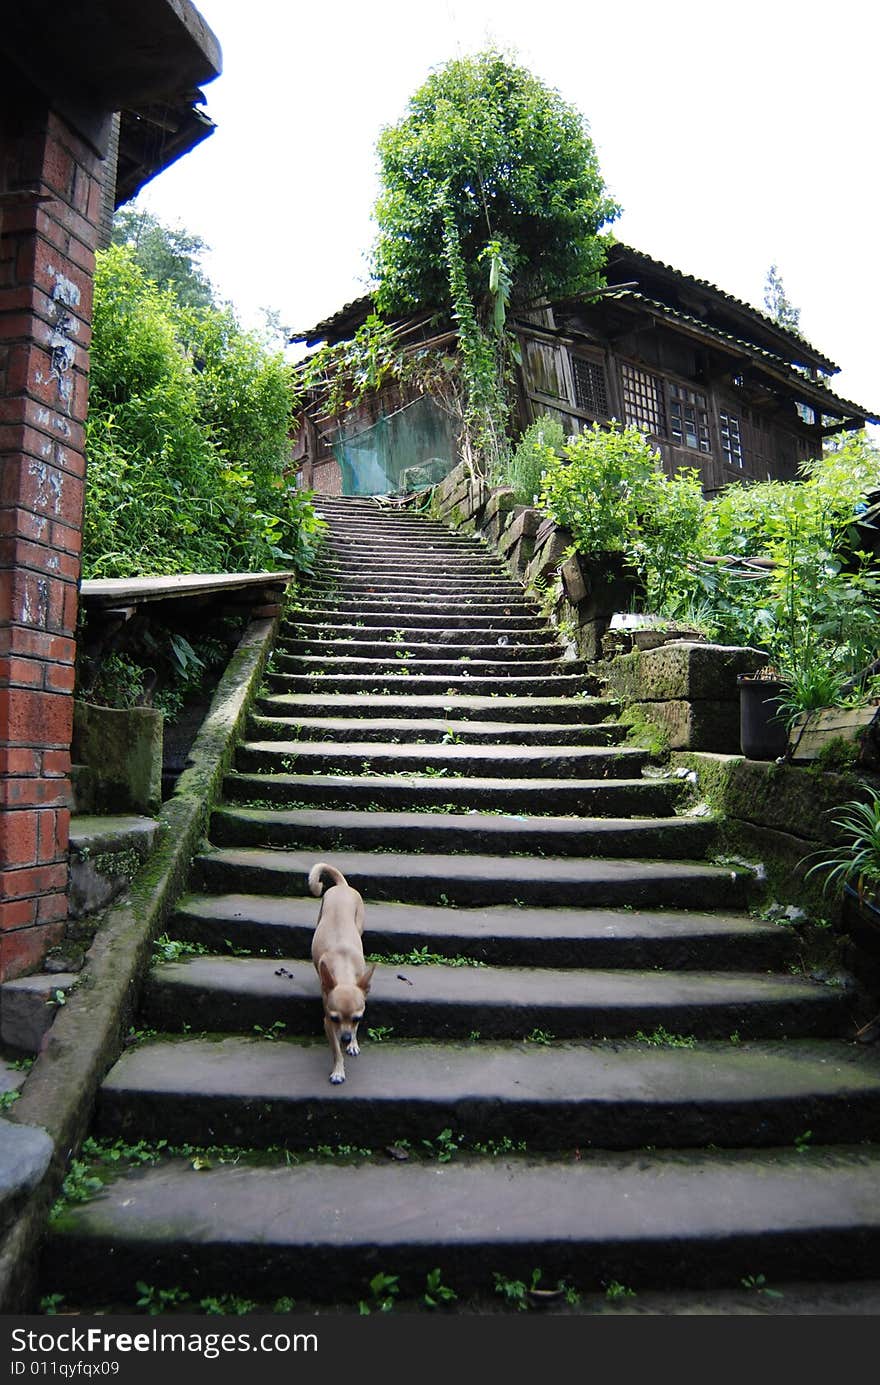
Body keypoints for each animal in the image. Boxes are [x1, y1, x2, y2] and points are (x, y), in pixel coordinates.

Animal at [310, 864, 374, 1080]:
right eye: (335, 1019)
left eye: (357, 1019)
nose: (345, 1038)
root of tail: (342, 887)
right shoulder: (328, 1024)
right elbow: (336, 1051)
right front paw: (338, 1071)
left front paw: (353, 1043)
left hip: (359, 923)